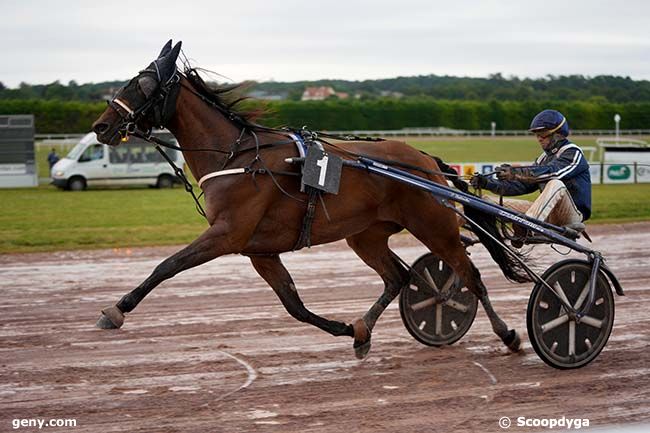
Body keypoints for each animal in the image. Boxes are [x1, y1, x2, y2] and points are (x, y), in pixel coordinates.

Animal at [91, 40, 528, 358]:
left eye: (143, 85)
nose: (101, 126)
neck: (237, 156)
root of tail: (425, 159)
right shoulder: (260, 250)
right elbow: (294, 305)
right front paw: (346, 329)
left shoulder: (227, 234)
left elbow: (167, 266)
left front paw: (116, 310)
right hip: (365, 235)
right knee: (399, 277)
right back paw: (364, 330)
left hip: (434, 227)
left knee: (470, 276)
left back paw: (508, 335)